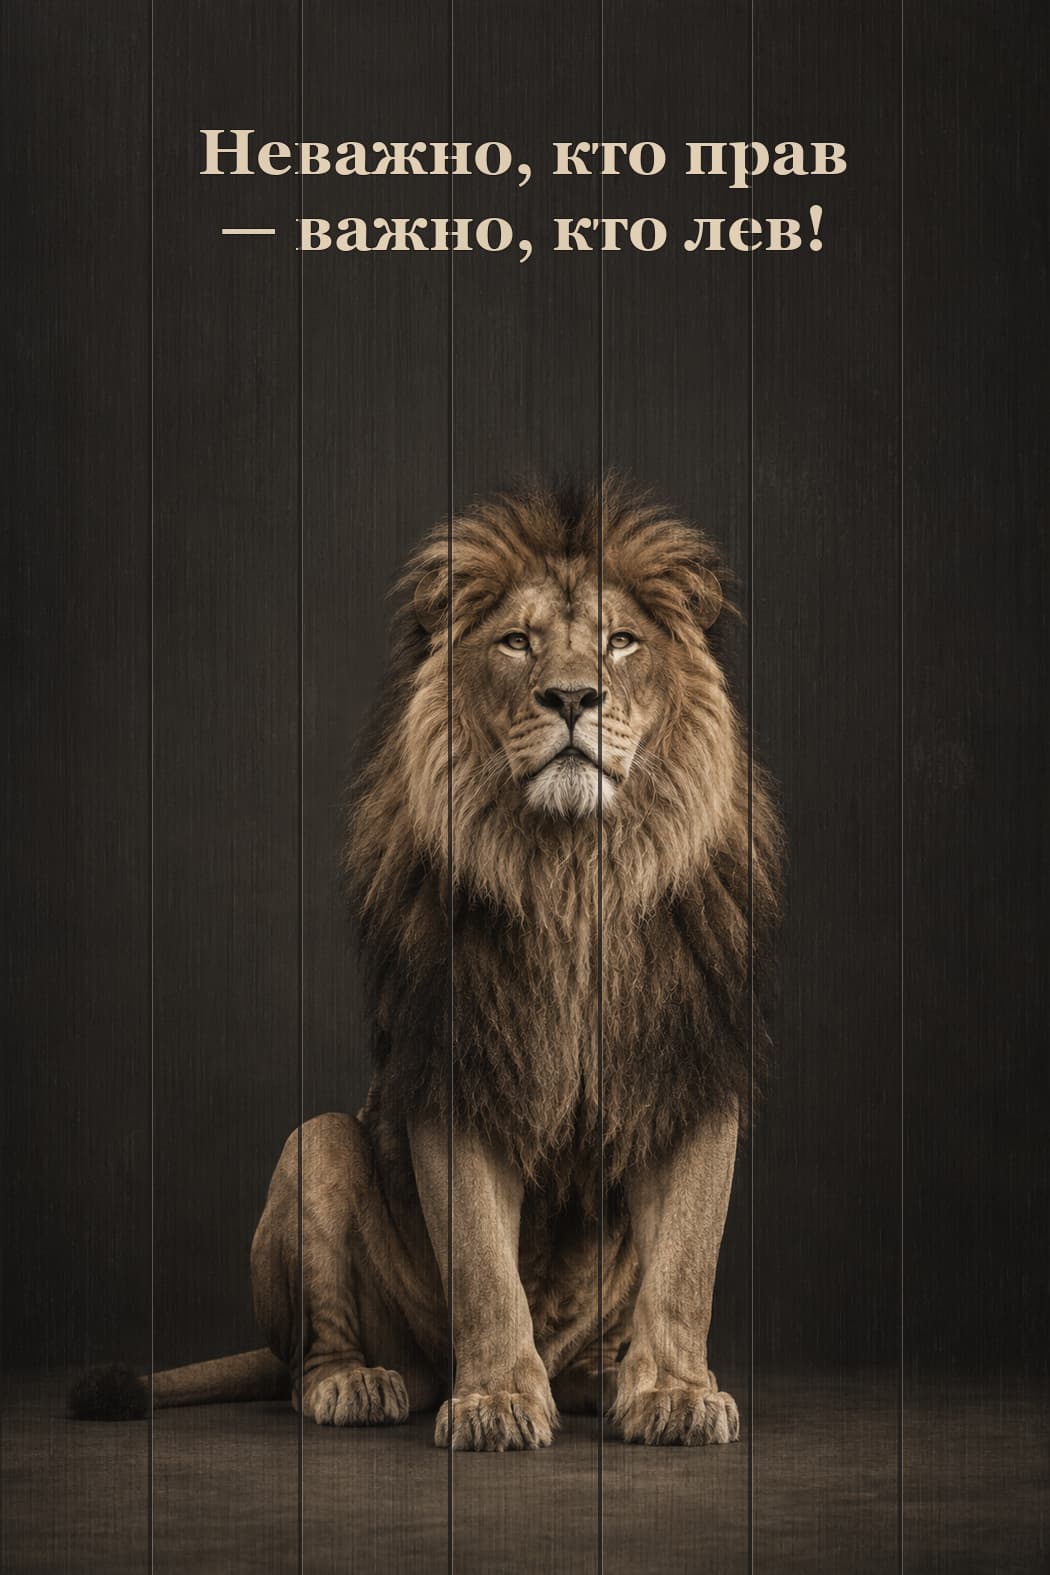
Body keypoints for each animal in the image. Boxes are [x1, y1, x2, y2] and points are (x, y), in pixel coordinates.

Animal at [71, 478, 779, 1451]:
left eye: (621, 640)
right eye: (517, 641)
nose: (572, 697)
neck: (572, 874)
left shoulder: (691, 1073)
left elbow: (687, 1264)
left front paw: (672, 1391)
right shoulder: (456, 1071)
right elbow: (481, 1264)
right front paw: (494, 1401)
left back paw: (602, 1378)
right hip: (317, 1145)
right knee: (311, 1354)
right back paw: (363, 1384)